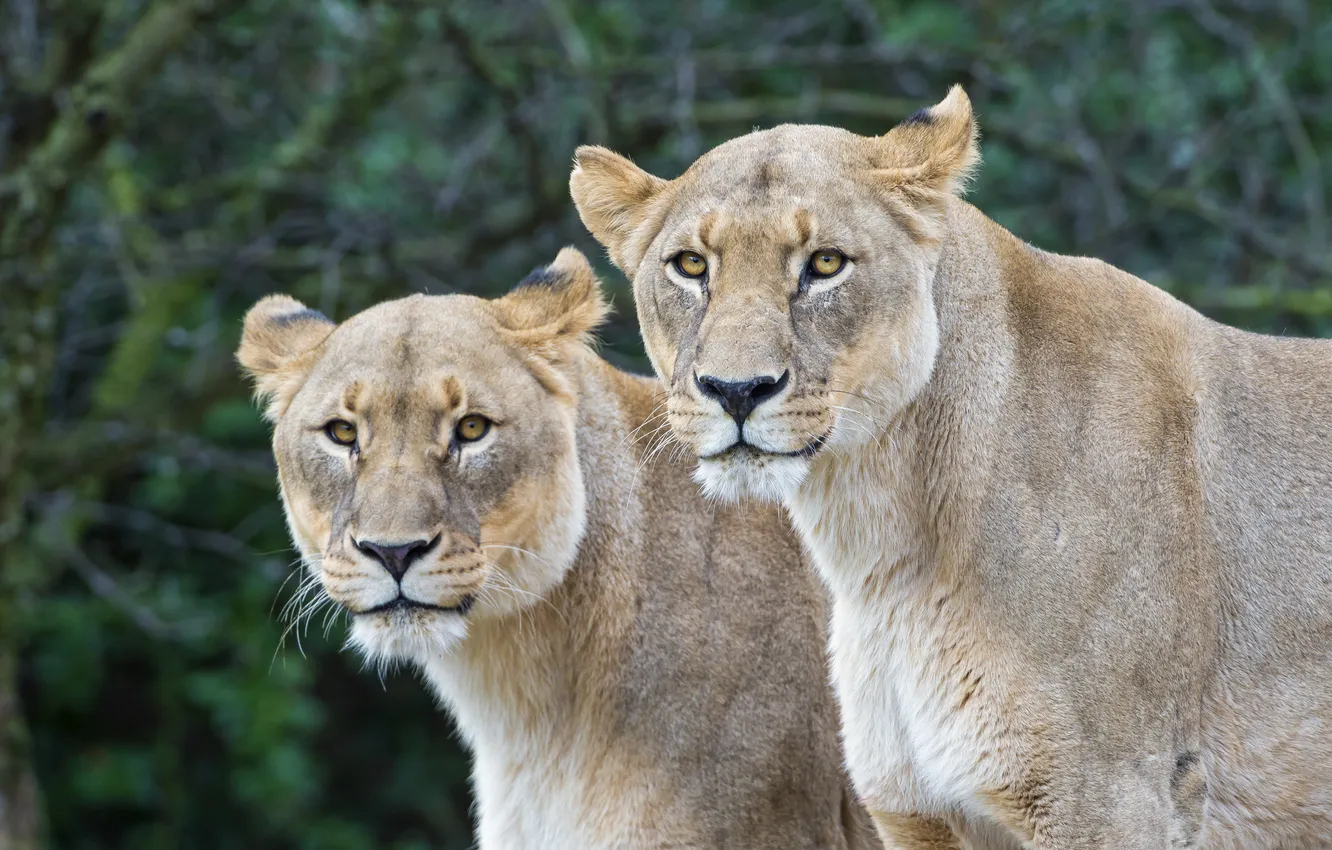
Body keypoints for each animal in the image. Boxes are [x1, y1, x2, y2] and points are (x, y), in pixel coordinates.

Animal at [569, 87, 1332, 848]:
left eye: (825, 264)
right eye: (691, 266)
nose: (736, 390)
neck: (883, 549)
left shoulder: (1115, 796)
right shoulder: (918, 810)